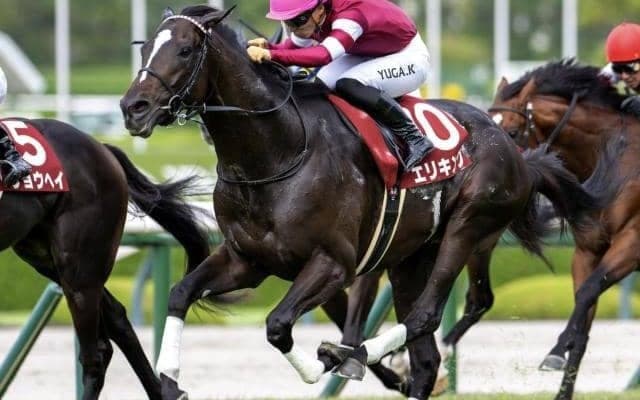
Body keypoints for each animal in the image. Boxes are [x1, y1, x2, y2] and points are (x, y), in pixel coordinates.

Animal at [119, 7, 614, 399]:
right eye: (143, 53)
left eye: (185, 51)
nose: (133, 108)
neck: (278, 151)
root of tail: (517, 154)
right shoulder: (247, 259)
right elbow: (180, 293)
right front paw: (170, 381)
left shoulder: (332, 263)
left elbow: (278, 325)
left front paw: (326, 360)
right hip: (412, 257)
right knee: (426, 357)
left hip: (469, 224)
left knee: (425, 317)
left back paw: (350, 353)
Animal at [488, 58, 639, 400]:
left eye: (513, 131)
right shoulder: (587, 250)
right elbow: (583, 319)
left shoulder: (632, 244)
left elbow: (587, 292)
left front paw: (555, 351)